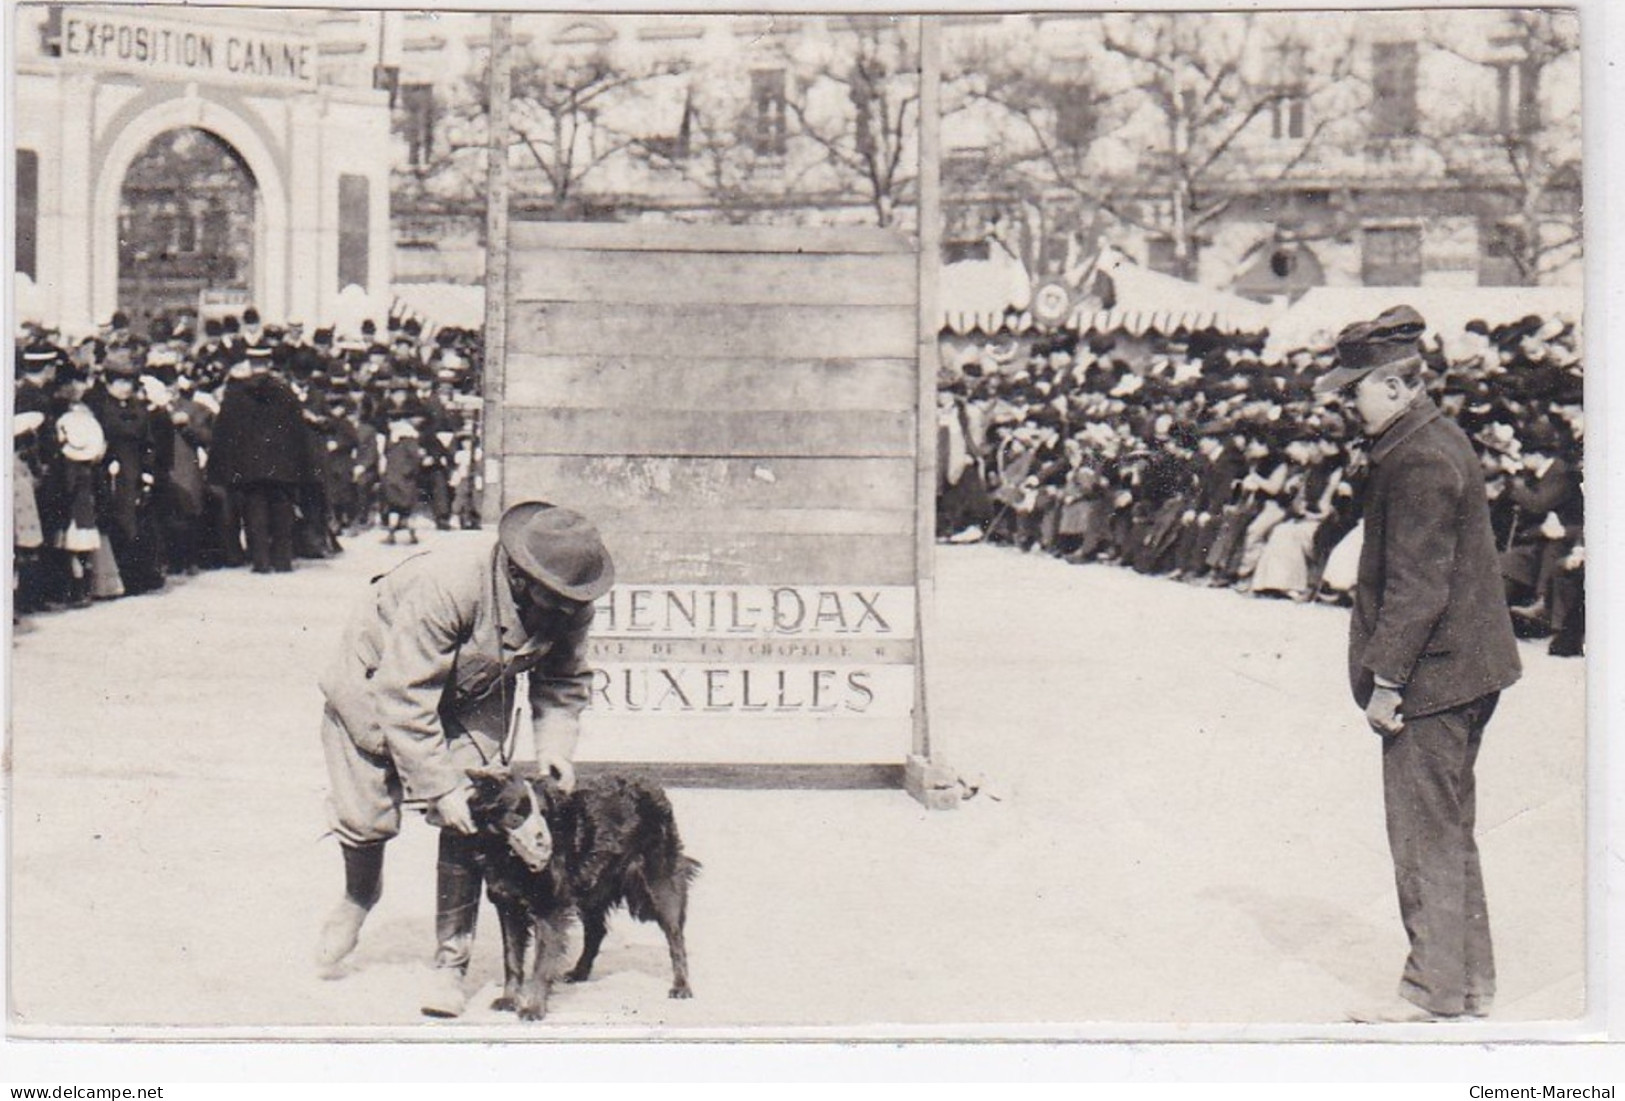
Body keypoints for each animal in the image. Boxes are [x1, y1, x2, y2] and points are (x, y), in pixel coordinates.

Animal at [468, 772, 702, 1019]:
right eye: (517, 814)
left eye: (545, 814)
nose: (544, 842)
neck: (510, 857)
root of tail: (653, 787)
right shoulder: (508, 907)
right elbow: (512, 958)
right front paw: (509, 999)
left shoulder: (549, 909)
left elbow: (541, 962)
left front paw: (534, 1007)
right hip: (592, 886)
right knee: (596, 931)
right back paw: (580, 971)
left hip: (661, 883)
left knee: (675, 936)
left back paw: (681, 986)